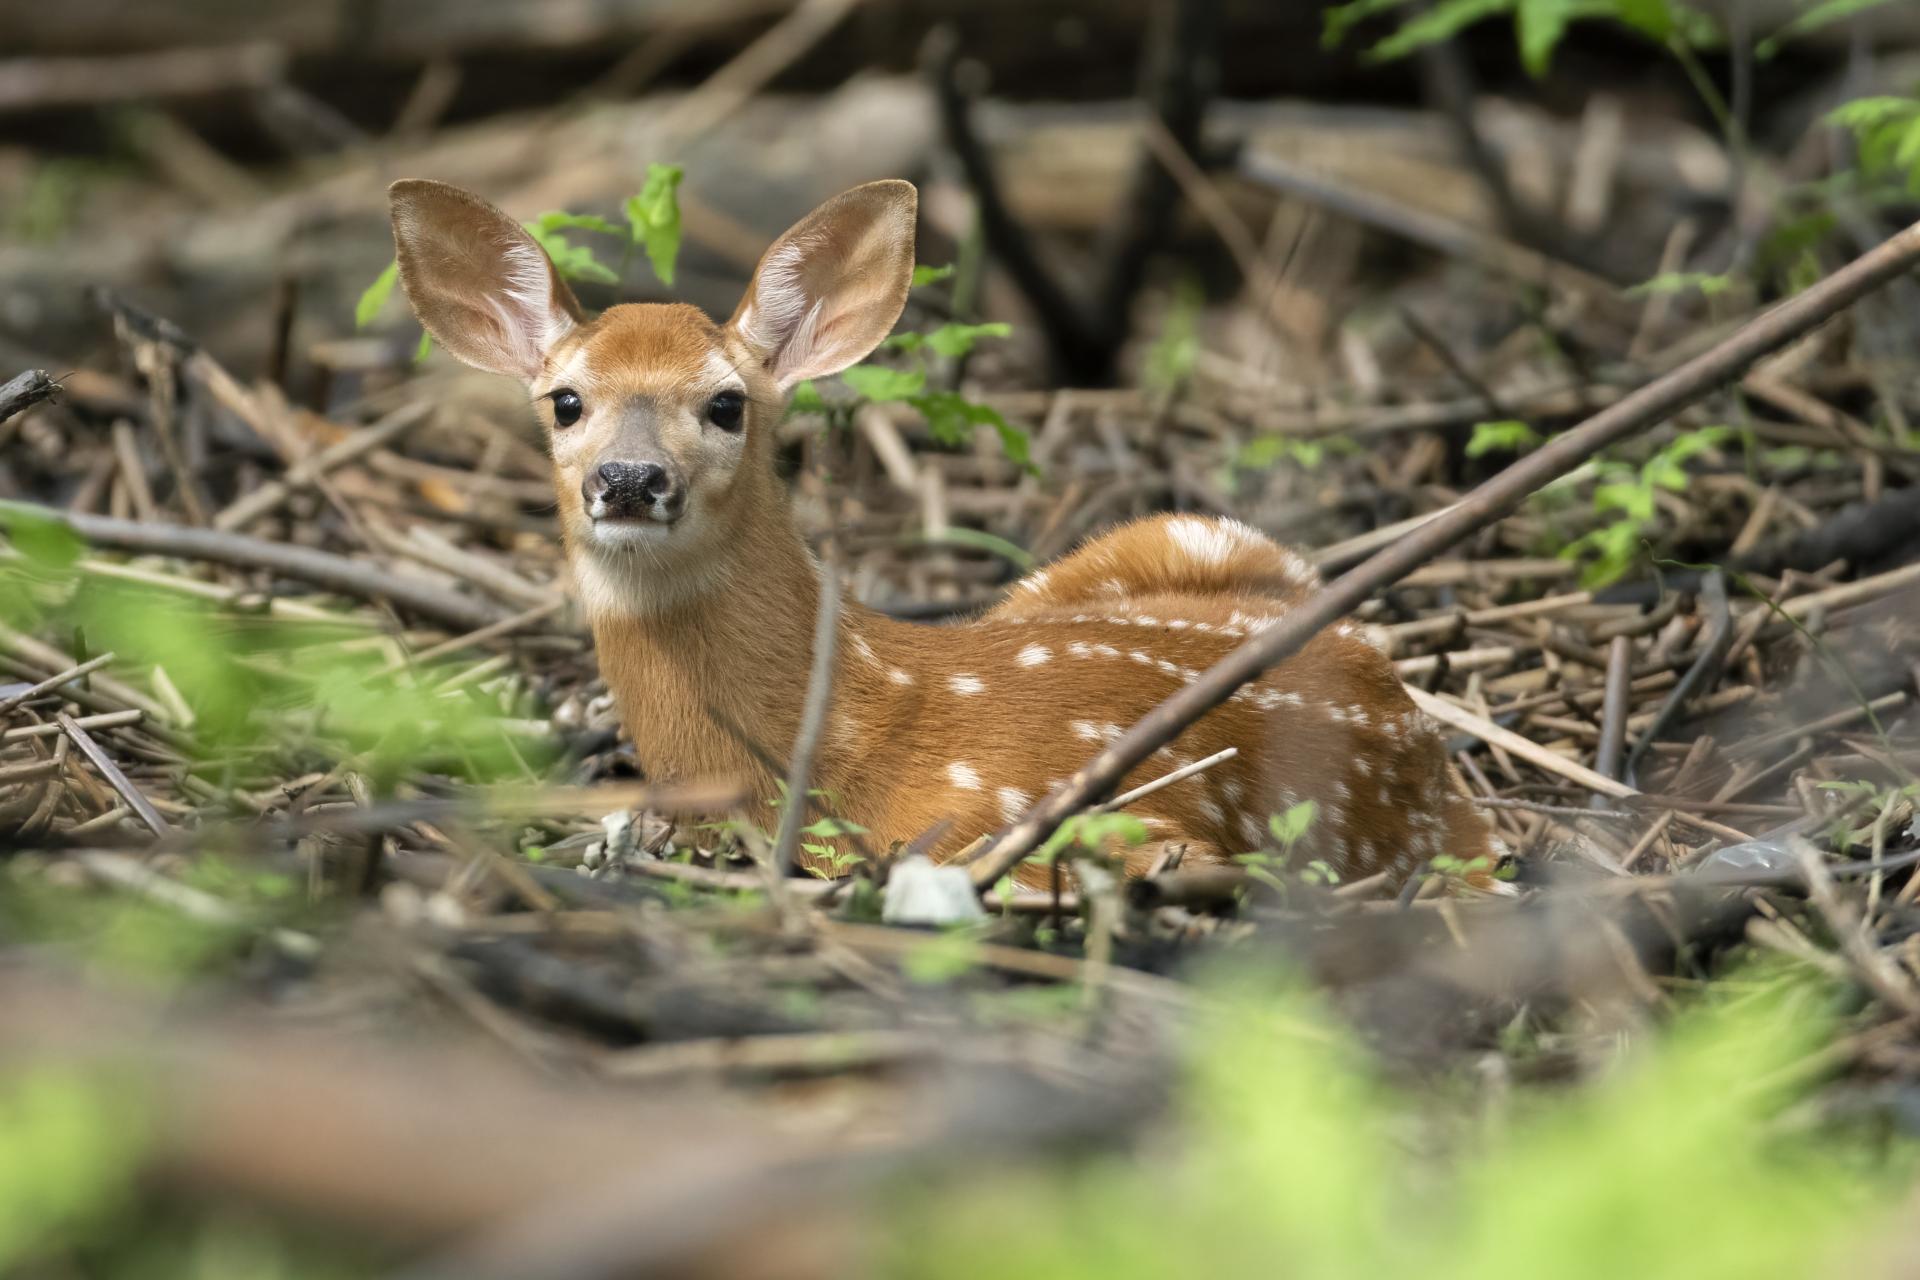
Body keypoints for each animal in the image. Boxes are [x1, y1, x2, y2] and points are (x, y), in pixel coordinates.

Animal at [388, 177, 1502, 886]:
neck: (854, 729)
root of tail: (1398, 697)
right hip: (1186, 538)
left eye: (726, 405)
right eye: (566, 401)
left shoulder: (1069, 825)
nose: (628, 480)